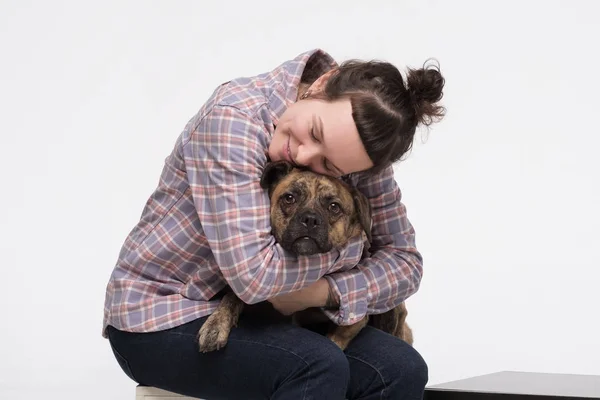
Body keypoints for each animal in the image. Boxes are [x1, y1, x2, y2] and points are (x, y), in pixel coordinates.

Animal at [197, 161, 412, 352]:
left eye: (334, 207)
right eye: (289, 198)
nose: (310, 219)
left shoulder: (353, 320)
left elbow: (335, 341)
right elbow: (231, 298)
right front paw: (216, 325)